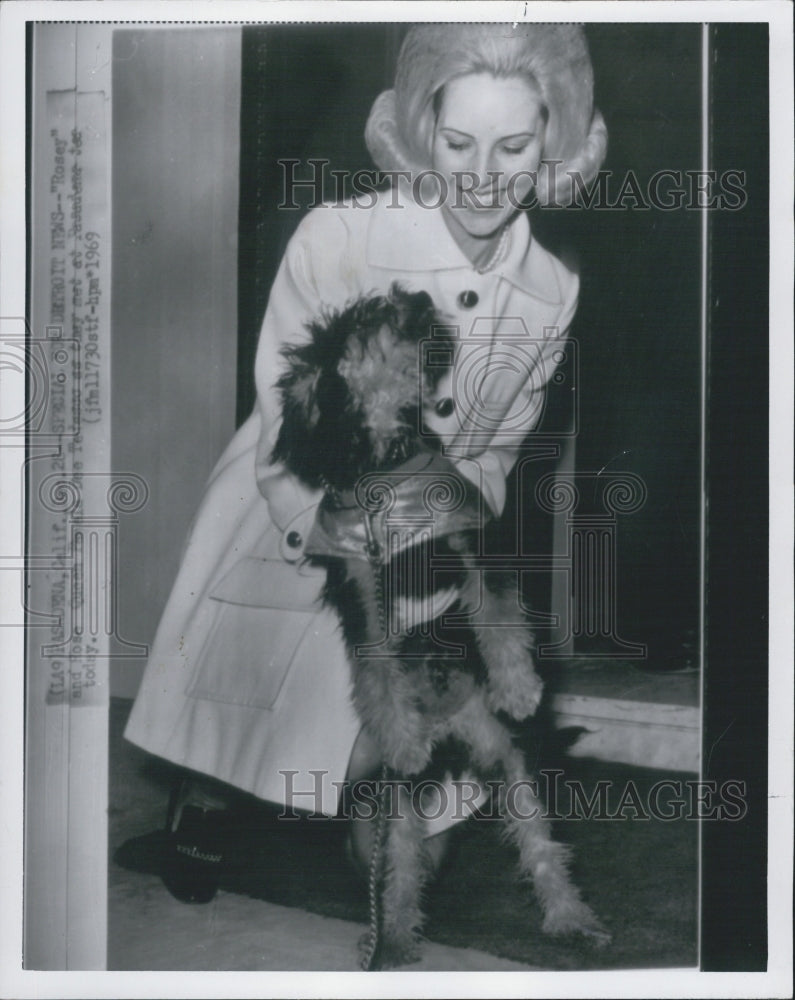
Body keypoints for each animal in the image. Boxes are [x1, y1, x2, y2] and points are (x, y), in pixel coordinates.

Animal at [274, 284, 608, 968]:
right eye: (368, 317)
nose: (422, 297)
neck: (385, 473)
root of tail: (453, 728)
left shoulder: (469, 549)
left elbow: (502, 622)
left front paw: (519, 687)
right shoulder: (363, 595)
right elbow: (378, 677)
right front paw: (402, 733)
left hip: (508, 762)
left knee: (541, 847)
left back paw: (570, 918)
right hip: (393, 800)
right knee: (400, 868)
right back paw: (394, 936)